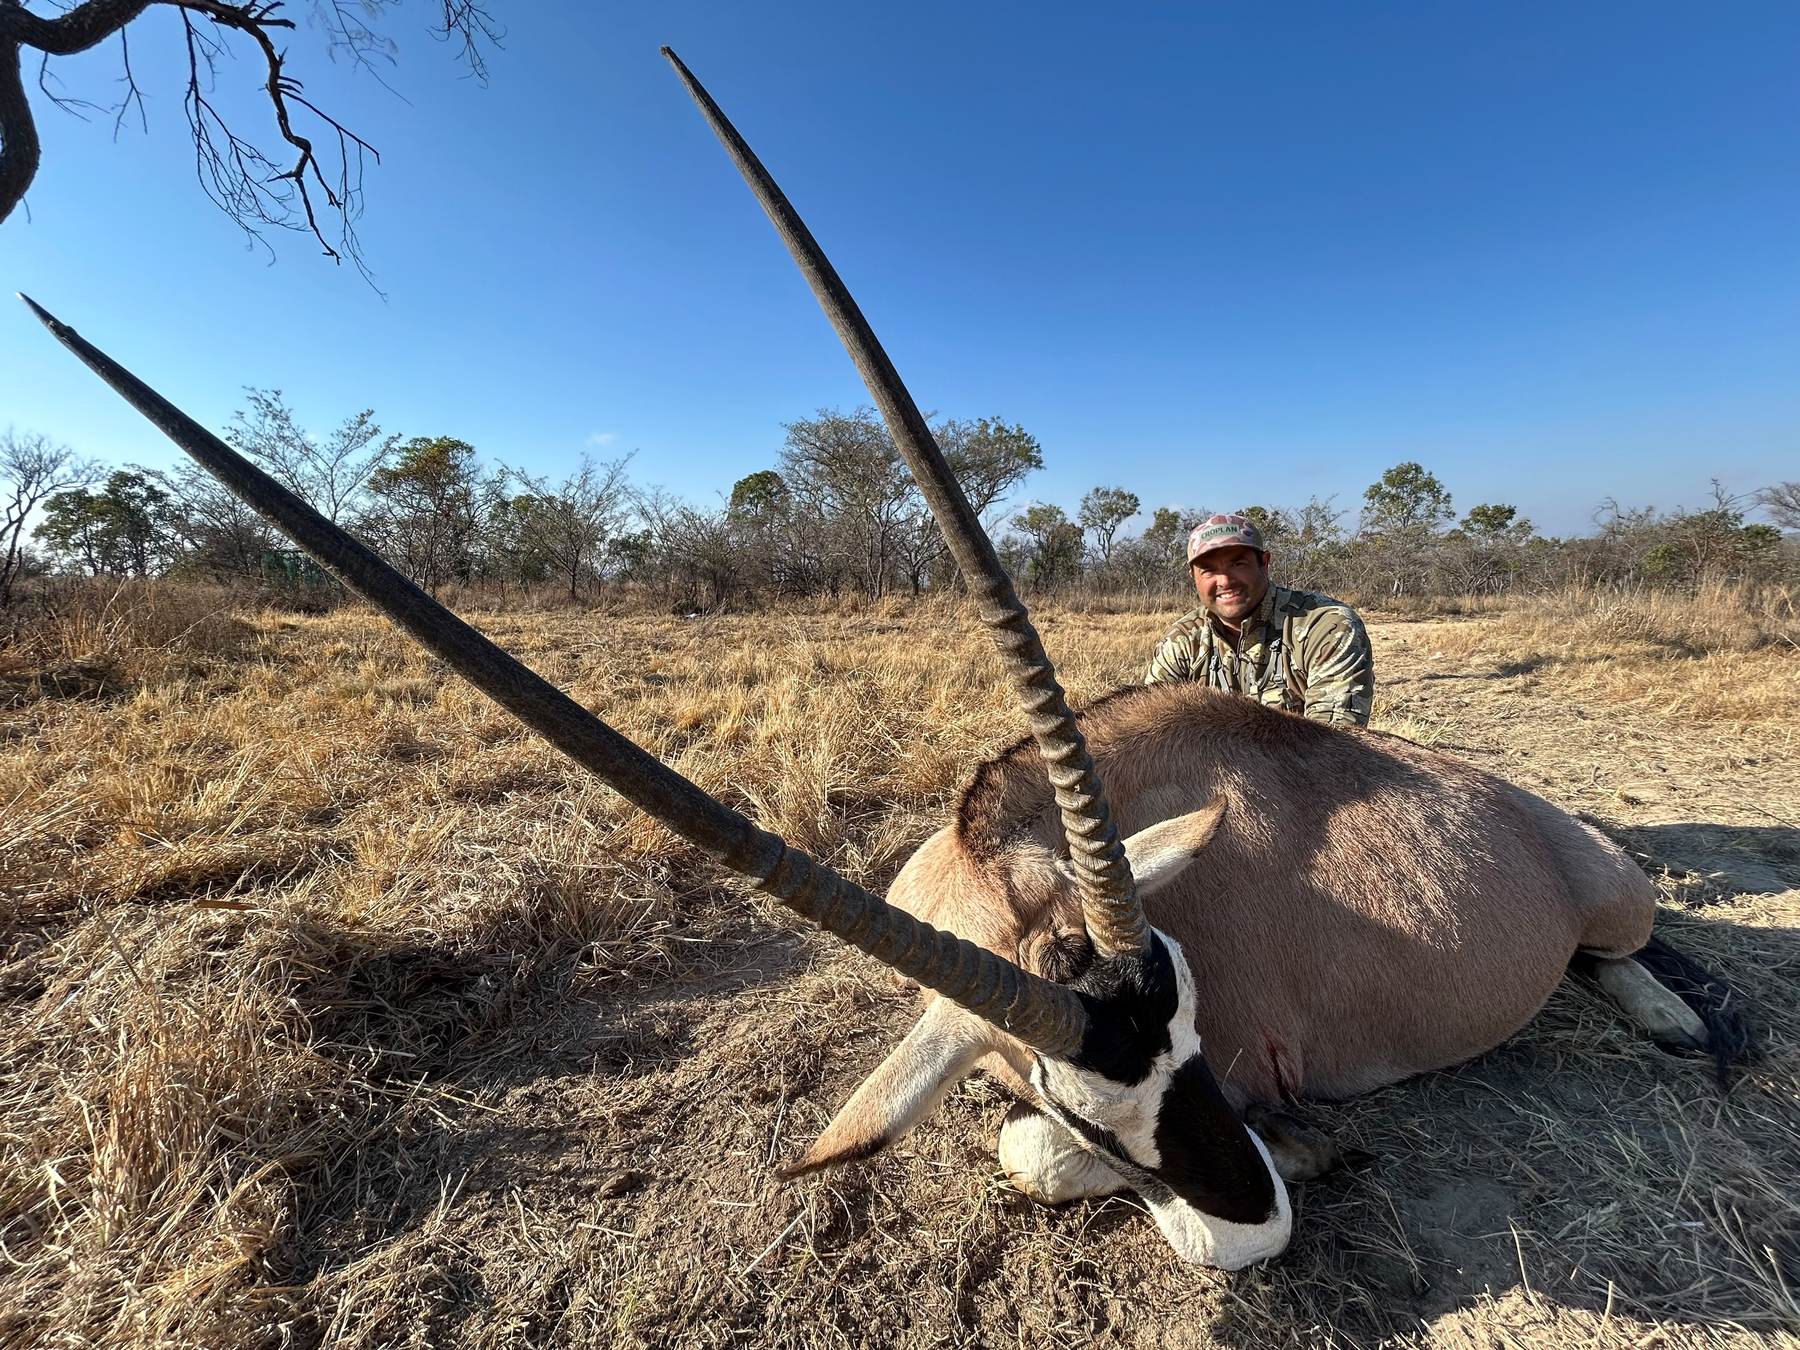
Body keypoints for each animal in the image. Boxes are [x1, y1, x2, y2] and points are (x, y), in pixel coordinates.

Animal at [19, 49, 1749, 1272]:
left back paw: (1670, 1017)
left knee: (1627, 949)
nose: (1260, 1211)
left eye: (1196, 1034)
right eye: (1075, 1079)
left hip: (1609, 895)